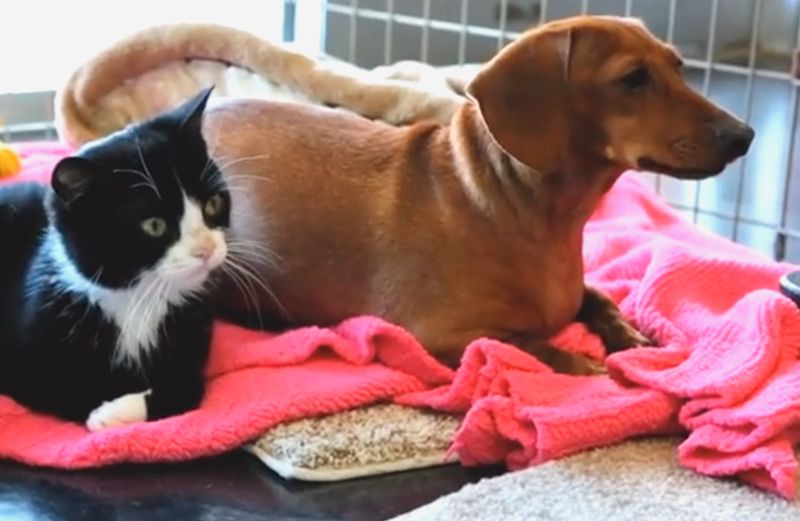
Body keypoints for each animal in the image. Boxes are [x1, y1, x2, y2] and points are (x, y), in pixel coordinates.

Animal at [0, 88, 230, 430]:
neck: (136, 299)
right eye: (154, 225)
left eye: (213, 204)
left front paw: (116, 411)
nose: (206, 248)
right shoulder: (26, 353)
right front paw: (105, 413)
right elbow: (64, 388)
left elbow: (187, 388)